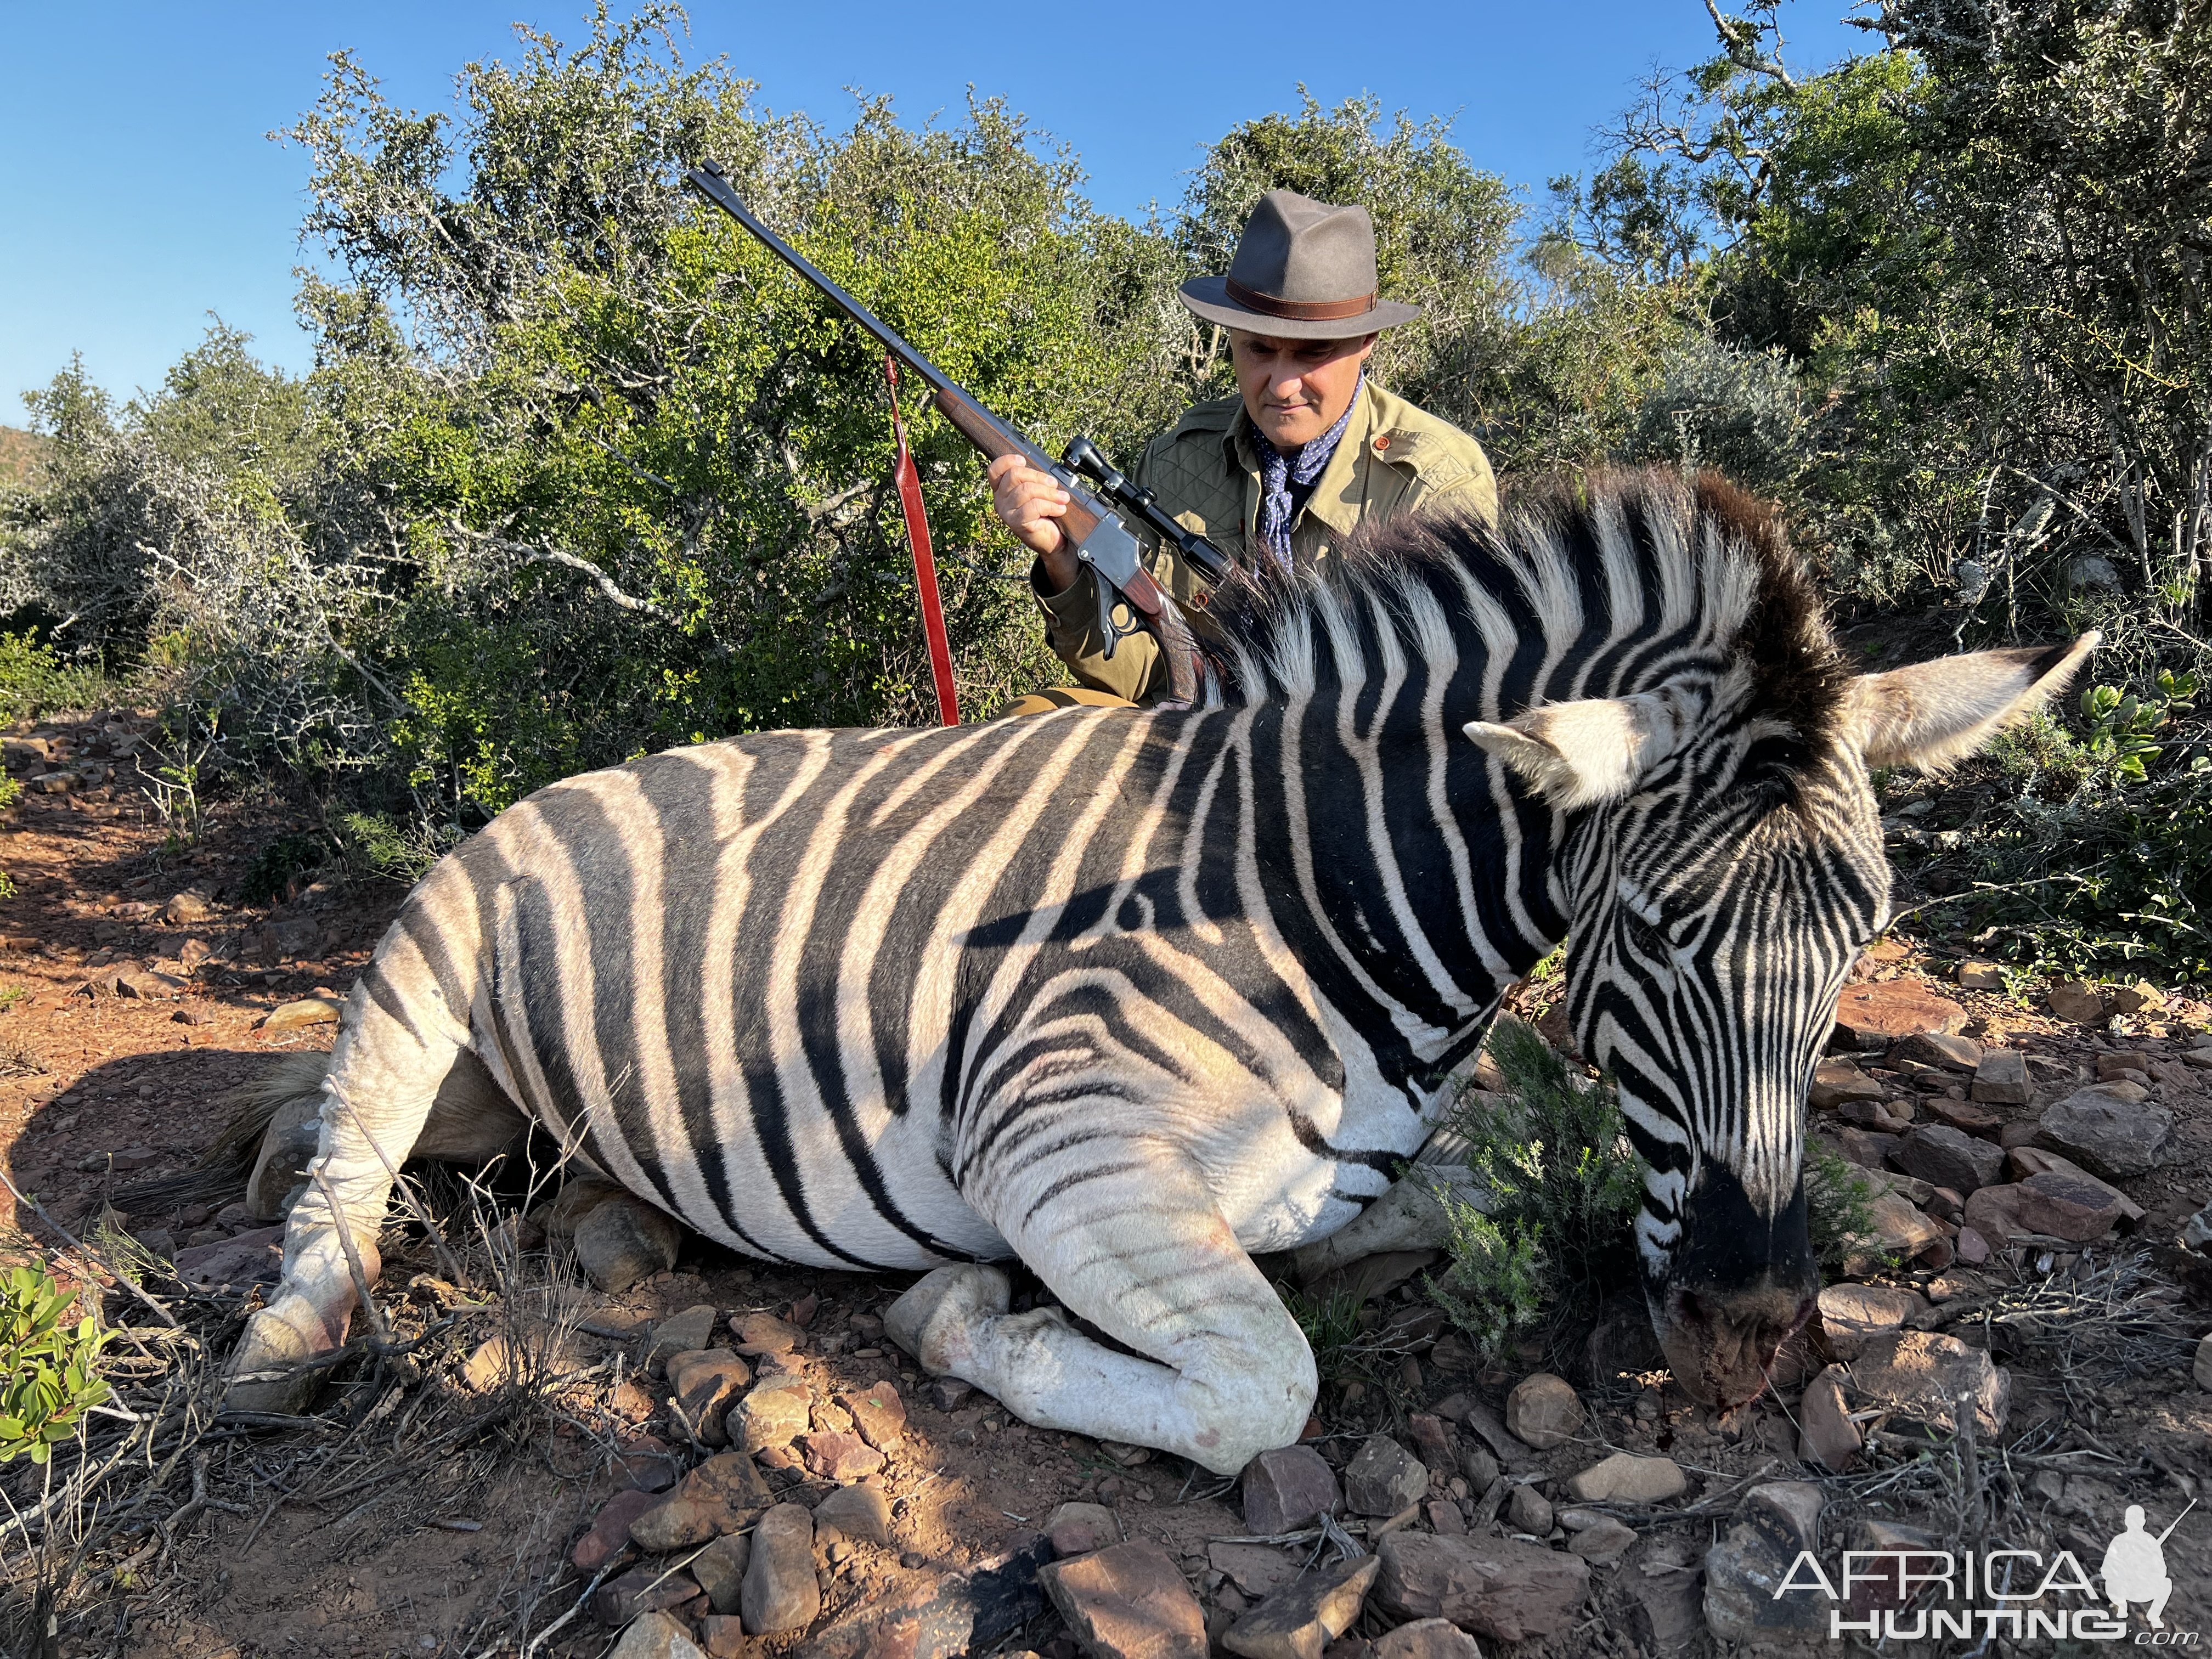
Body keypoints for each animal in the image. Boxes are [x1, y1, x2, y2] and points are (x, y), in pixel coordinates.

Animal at [229, 473, 2088, 1477]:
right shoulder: (1058, 1150)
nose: (1752, 1341)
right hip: (428, 963)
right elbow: (1266, 1389)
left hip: (515, 1098)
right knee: (343, 1167)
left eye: (1855, 949)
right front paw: (961, 1316)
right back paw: (279, 1344)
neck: (1328, 887)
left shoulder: (1362, 1165)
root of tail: (568, 774)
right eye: (1647, 935)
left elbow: (1477, 1209)